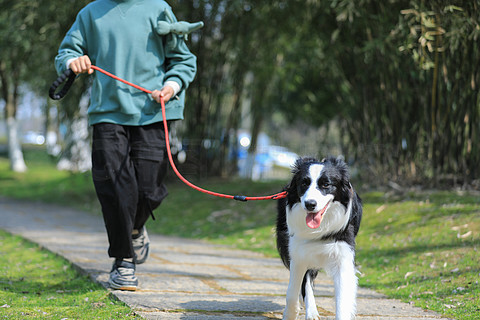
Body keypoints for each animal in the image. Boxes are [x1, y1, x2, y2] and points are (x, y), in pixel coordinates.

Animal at [276, 157, 362, 320]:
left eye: (326, 184)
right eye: (304, 183)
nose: (310, 204)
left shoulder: (342, 255)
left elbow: (343, 299)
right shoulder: (298, 252)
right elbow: (292, 292)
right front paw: (290, 314)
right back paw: (311, 312)